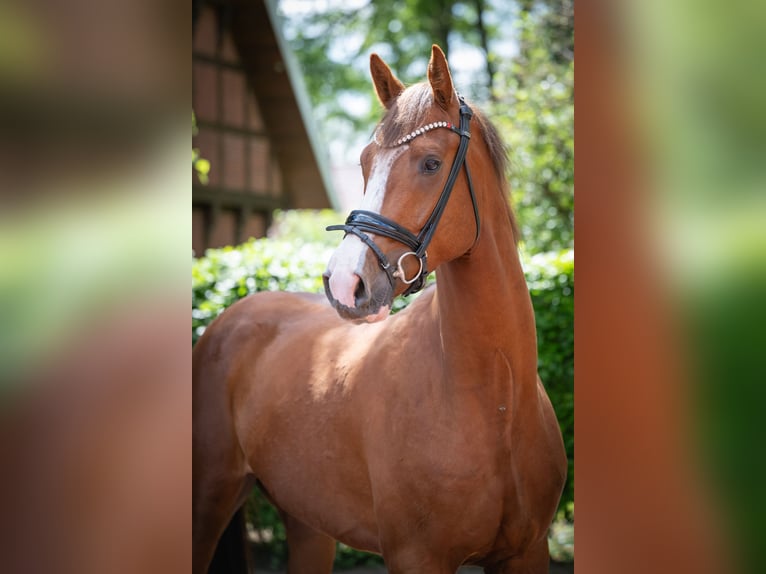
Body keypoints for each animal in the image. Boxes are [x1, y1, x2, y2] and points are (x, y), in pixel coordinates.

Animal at [193, 45, 567, 573]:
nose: (344, 284)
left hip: (308, 522)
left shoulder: (527, 551)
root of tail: (224, 321)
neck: (497, 401)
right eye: (366, 161)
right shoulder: (417, 557)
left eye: (431, 163)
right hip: (208, 499)